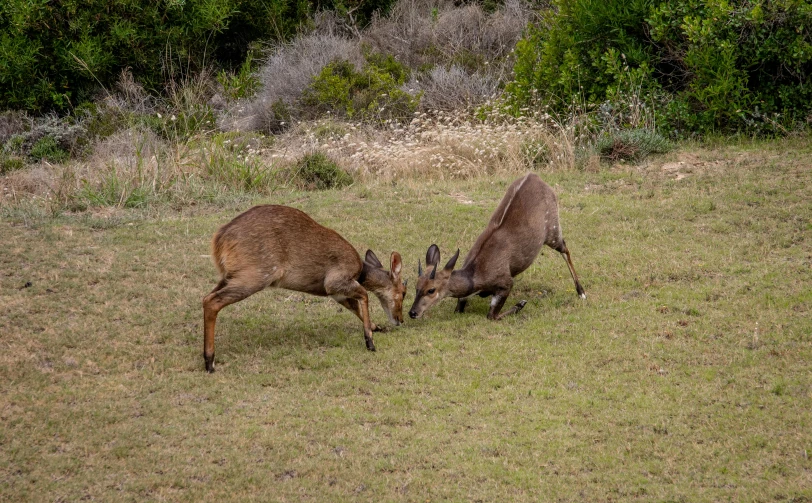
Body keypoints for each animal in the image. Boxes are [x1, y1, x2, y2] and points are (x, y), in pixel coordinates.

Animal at [203, 205, 406, 374]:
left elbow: (354, 306)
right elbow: (364, 295)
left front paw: (376, 327)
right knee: (212, 301)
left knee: (207, 297)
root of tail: (219, 239)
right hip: (255, 276)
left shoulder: (336, 293)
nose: (400, 319)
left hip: (230, 276)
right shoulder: (334, 282)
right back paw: (210, 362)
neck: (360, 271)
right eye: (404, 292)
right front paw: (370, 342)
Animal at [410, 173, 588, 320]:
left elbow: (492, 315)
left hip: (552, 229)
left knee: (565, 248)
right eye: (416, 286)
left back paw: (581, 292)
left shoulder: (505, 282)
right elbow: (459, 308)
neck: (476, 276)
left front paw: (520, 304)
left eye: (431, 290)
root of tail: (536, 176)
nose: (412, 312)